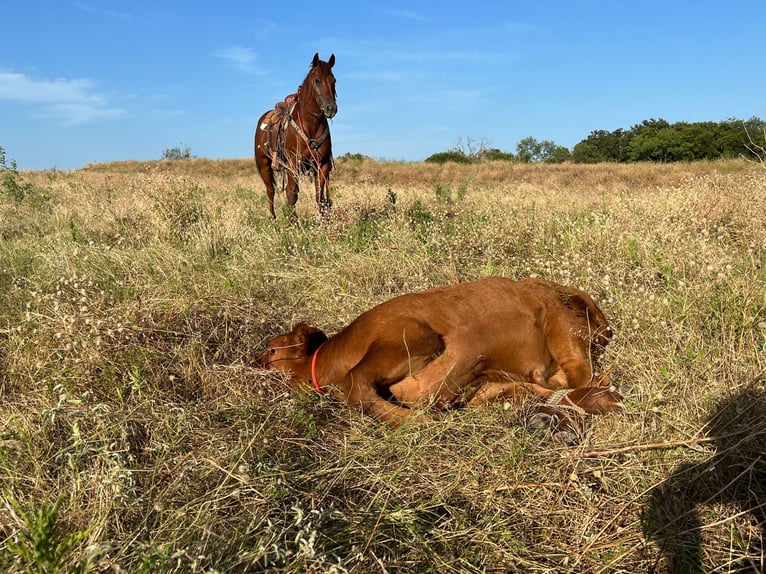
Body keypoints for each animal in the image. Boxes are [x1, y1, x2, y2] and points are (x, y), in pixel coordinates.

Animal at [255, 52, 336, 220]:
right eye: (317, 80)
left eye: (334, 80)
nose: (331, 108)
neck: (311, 126)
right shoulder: (293, 165)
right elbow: (292, 194)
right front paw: (293, 222)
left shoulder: (323, 165)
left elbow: (320, 196)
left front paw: (322, 220)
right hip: (264, 164)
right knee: (270, 190)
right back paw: (273, 218)